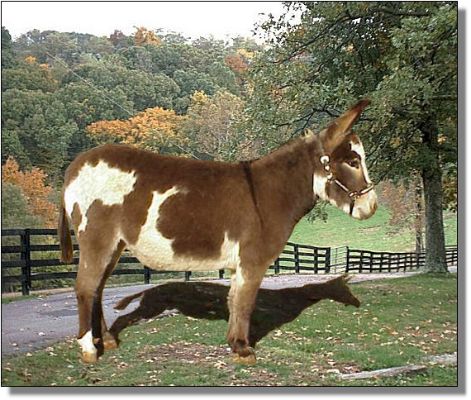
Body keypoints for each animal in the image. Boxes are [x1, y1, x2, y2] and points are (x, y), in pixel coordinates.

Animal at [58, 99, 377, 363]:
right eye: (353, 162)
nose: (372, 206)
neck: (267, 194)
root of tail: (76, 164)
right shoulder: (252, 260)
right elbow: (246, 302)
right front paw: (244, 350)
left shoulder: (239, 264)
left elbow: (235, 300)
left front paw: (234, 344)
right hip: (97, 239)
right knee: (85, 288)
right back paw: (89, 350)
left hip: (115, 244)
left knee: (97, 288)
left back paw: (107, 341)